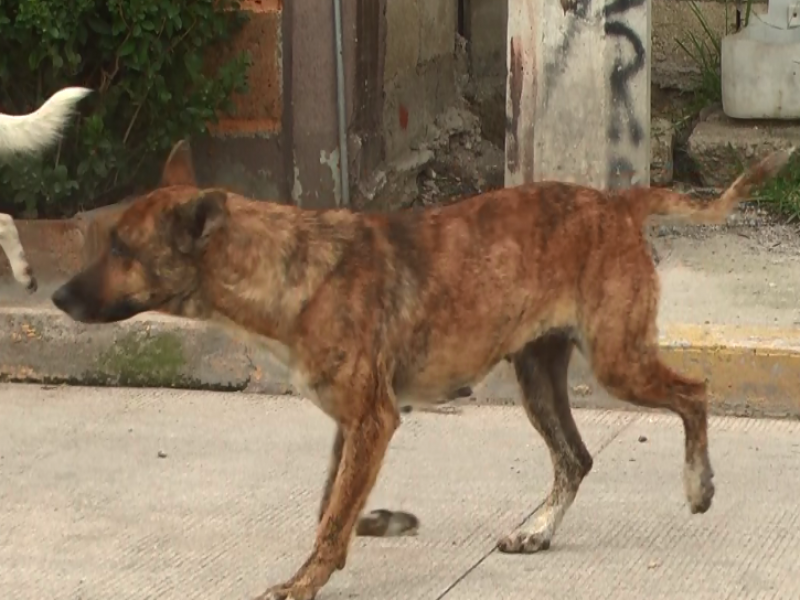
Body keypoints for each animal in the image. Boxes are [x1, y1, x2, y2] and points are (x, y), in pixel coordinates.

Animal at [51, 142, 792, 600]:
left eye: (121, 248)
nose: (56, 296)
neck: (289, 271)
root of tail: (617, 202)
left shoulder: (373, 419)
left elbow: (330, 517)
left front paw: (304, 580)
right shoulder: (353, 425)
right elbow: (331, 506)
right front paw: (376, 525)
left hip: (618, 362)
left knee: (694, 395)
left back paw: (698, 485)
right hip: (536, 374)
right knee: (575, 459)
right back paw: (538, 531)